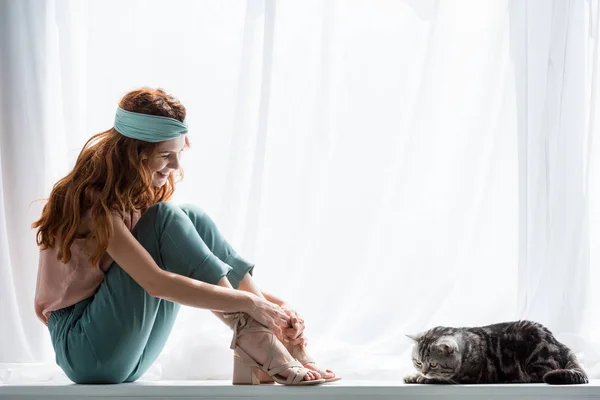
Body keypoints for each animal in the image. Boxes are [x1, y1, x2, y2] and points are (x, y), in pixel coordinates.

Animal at [406, 318, 588, 384]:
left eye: (433, 364)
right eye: (418, 362)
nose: (424, 371)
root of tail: (559, 344)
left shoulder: (466, 377)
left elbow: (441, 378)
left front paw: (423, 379)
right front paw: (413, 376)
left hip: (537, 359)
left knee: (540, 375)